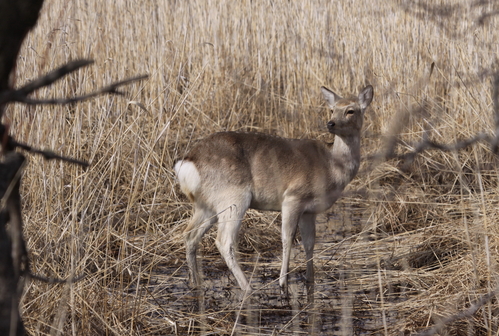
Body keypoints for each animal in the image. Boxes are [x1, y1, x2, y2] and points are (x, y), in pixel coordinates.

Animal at [174, 84, 374, 300]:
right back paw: (247, 288)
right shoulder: (293, 197)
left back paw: (195, 283)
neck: (331, 166)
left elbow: (309, 243)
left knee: (190, 234)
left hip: (207, 204)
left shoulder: (310, 211)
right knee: (224, 241)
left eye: (350, 110)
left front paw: (310, 279)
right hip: (233, 196)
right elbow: (287, 238)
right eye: (332, 109)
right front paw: (283, 283)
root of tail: (187, 163)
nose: (331, 123)